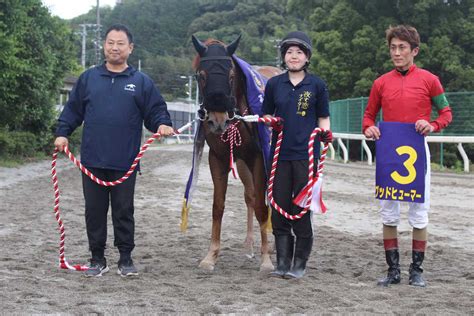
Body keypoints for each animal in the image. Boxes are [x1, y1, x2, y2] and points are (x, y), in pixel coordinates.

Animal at [192, 35, 282, 272]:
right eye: (201, 76)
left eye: (231, 75)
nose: (217, 120)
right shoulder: (218, 158)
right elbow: (218, 206)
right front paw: (211, 255)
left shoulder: (259, 158)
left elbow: (262, 207)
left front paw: (266, 259)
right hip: (242, 164)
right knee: (250, 196)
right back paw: (250, 244)